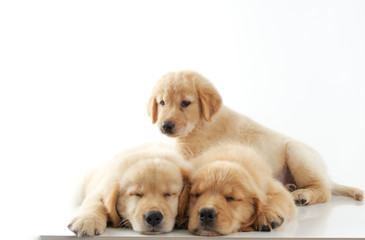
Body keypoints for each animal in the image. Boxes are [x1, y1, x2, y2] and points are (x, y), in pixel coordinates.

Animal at [146, 70, 362, 206]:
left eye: (185, 103)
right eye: (162, 102)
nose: (166, 126)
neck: (201, 123)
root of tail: (327, 176)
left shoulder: (191, 156)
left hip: (297, 153)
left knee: (324, 191)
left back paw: (302, 195)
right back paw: (290, 187)